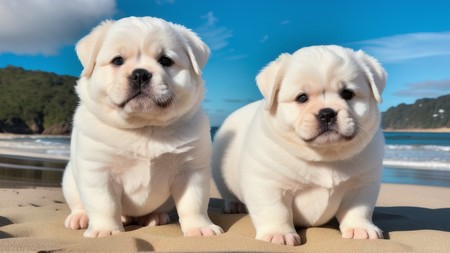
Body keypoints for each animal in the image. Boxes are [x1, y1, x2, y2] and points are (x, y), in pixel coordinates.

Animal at [62, 16, 224, 238]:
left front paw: (199, 227)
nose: (140, 74)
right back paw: (80, 217)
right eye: (117, 61)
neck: (144, 127)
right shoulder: (98, 171)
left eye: (166, 61)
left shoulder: (191, 170)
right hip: (70, 179)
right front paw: (105, 230)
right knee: (79, 203)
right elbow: (104, 205)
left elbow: (194, 203)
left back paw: (155, 217)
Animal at [214, 45, 386, 245]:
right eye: (302, 98)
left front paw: (361, 228)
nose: (327, 113)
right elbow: (275, 210)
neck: (325, 155)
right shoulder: (268, 184)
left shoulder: (362, 184)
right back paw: (234, 205)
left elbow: (358, 210)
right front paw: (278, 233)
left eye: (348, 94)